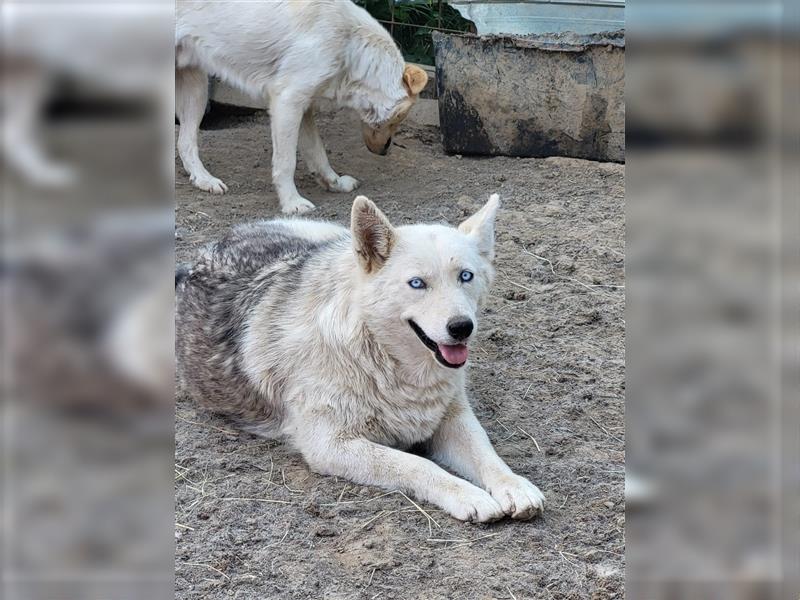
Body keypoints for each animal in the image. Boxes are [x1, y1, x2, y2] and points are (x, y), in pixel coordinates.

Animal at [173, 0, 428, 216]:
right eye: (399, 118)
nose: (385, 151)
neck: (350, 45)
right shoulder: (287, 103)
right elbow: (286, 163)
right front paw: (292, 203)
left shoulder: (304, 108)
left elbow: (318, 153)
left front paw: (335, 183)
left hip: (197, 90)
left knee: (185, 143)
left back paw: (204, 180)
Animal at [177, 196, 548, 520]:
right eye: (417, 283)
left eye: (465, 276)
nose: (461, 327)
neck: (386, 362)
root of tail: (219, 242)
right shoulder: (330, 446)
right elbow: (418, 465)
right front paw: (469, 495)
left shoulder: (453, 418)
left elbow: (486, 452)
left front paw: (514, 485)